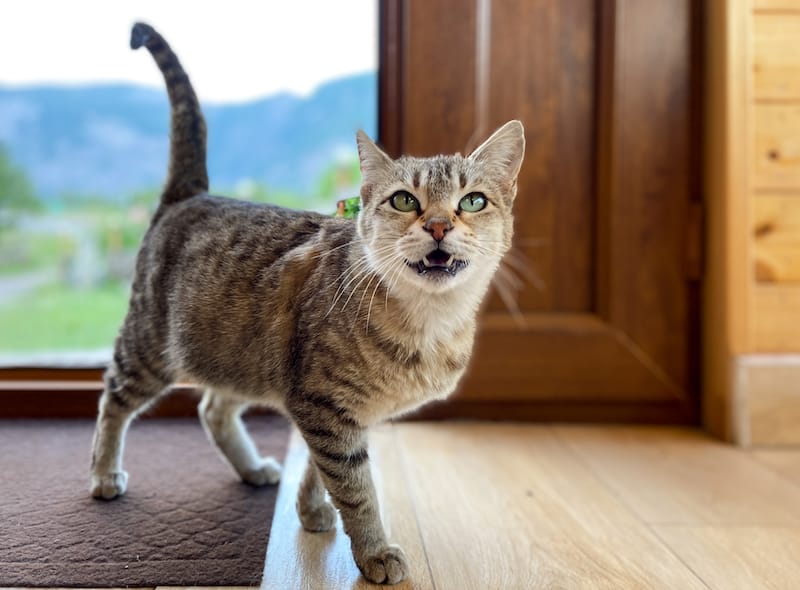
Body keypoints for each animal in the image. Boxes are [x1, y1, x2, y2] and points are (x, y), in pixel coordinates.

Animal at [89, 20, 524, 584]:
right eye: (404, 199)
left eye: (472, 201)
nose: (437, 225)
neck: (428, 325)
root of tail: (191, 195)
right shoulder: (323, 404)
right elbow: (356, 488)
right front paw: (374, 551)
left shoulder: (332, 409)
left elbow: (324, 471)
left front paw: (312, 509)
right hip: (152, 348)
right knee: (114, 399)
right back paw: (104, 472)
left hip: (243, 357)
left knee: (213, 409)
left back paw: (252, 468)